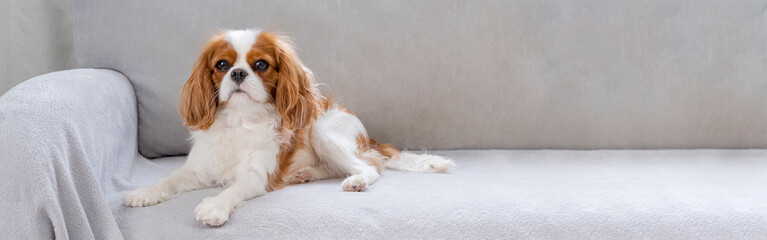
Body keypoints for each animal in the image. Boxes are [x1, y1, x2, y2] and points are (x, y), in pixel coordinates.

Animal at [123, 29, 452, 226]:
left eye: (260, 65)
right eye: (221, 65)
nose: (238, 73)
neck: (240, 120)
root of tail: (368, 135)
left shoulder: (256, 177)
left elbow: (233, 190)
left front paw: (213, 206)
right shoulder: (196, 170)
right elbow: (168, 180)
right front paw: (144, 193)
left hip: (322, 130)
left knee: (371, 167)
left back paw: (356, 181)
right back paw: (304, 174)